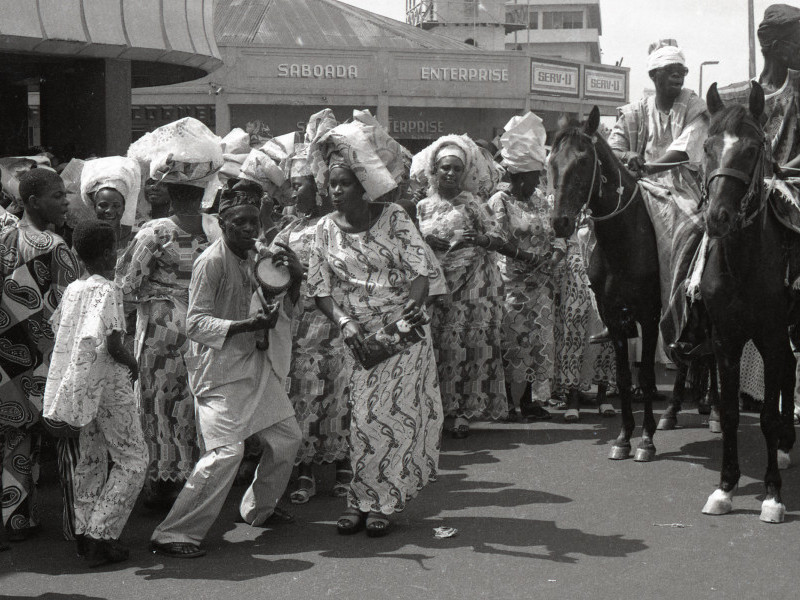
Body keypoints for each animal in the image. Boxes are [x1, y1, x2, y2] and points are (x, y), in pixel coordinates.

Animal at [552, 109, 664, 464]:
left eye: (583, 160)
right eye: (552, 162)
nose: (559, 222)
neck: (627, 244)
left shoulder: (650, 314)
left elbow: (645, 375)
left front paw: (647, 440)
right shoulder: (612, 316)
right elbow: (624, 377)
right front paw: (624, 437)